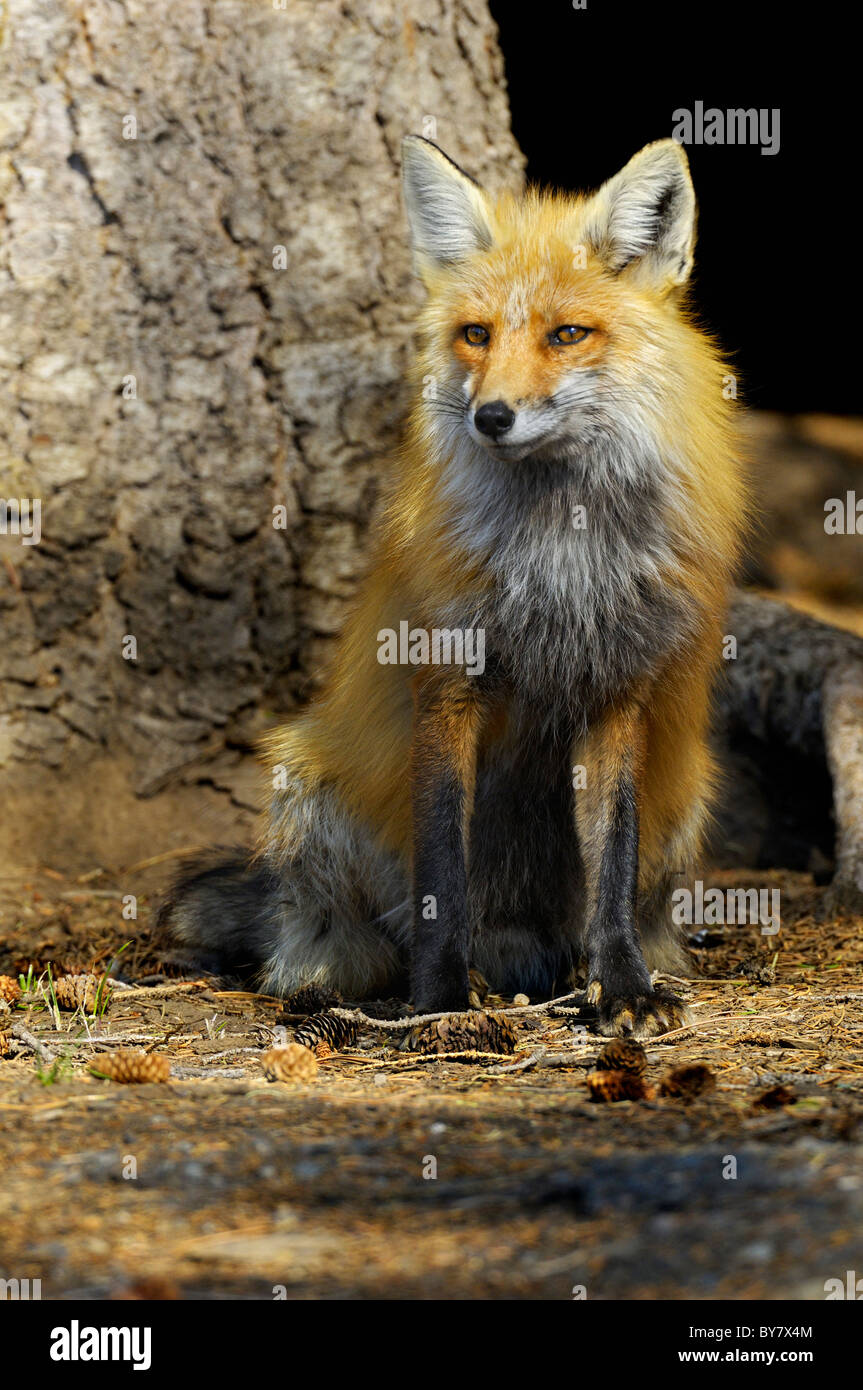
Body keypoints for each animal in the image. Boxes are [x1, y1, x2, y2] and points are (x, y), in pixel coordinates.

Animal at [160, 135, 747, 1038]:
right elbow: (442, 867)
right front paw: (438, 1003)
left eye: (566, 334)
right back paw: (326, 988)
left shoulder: (615, 694)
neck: (557, 554)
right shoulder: (445, 683)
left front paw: (622, 986)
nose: (491, 417)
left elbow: (610, 867)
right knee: (324, 939)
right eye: (475, 334)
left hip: (684, 798)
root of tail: (519, 951)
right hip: (306, 783)